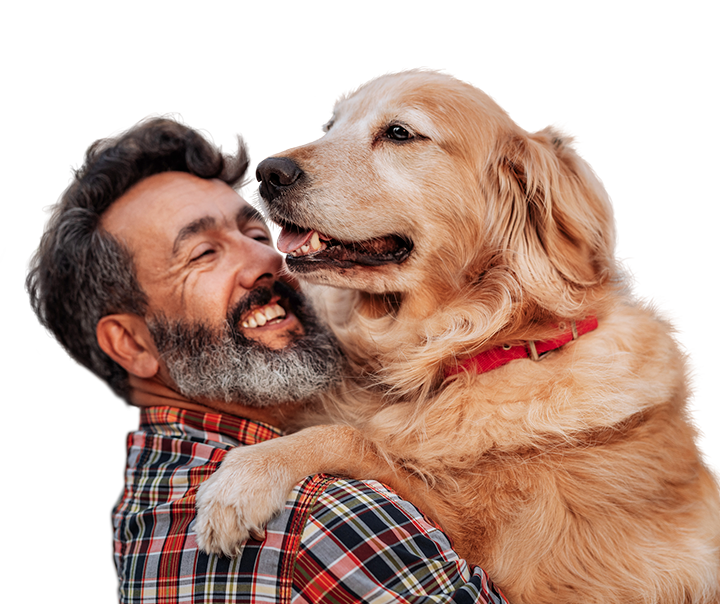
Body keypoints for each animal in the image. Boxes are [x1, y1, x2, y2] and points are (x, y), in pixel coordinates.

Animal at [195, 72, 720, 604]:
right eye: (330, 126)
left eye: (400, 133)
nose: (268, 172)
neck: (476, 348)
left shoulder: (505, 560)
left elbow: (350, 438)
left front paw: (241, 481)